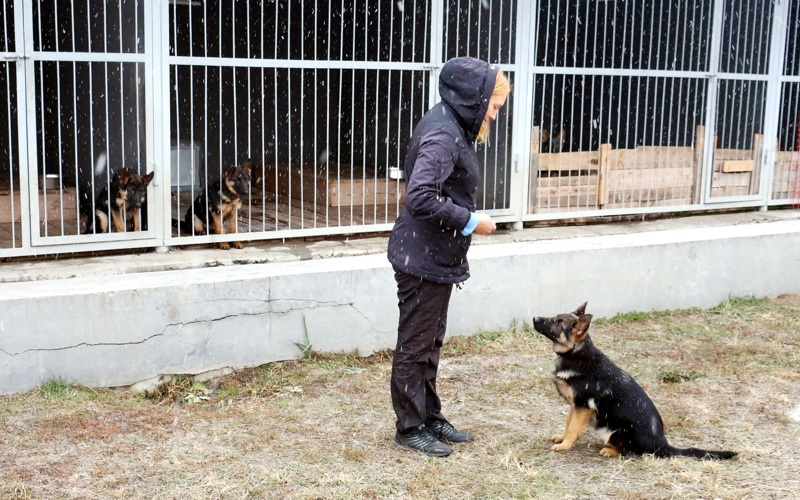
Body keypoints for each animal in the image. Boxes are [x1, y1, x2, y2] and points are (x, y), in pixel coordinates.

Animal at [536, 302, 736, 458]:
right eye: (556, 317)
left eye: (558, 322)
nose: (535, 317)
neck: (576, 353)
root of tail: (664, 445)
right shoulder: (575, 405)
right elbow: (568, 423)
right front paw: (561, 438)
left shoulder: (583, 407)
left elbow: (573, 428)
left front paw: (564, 446)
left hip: (616, 433)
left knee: (632, 452)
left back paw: (609, 451)